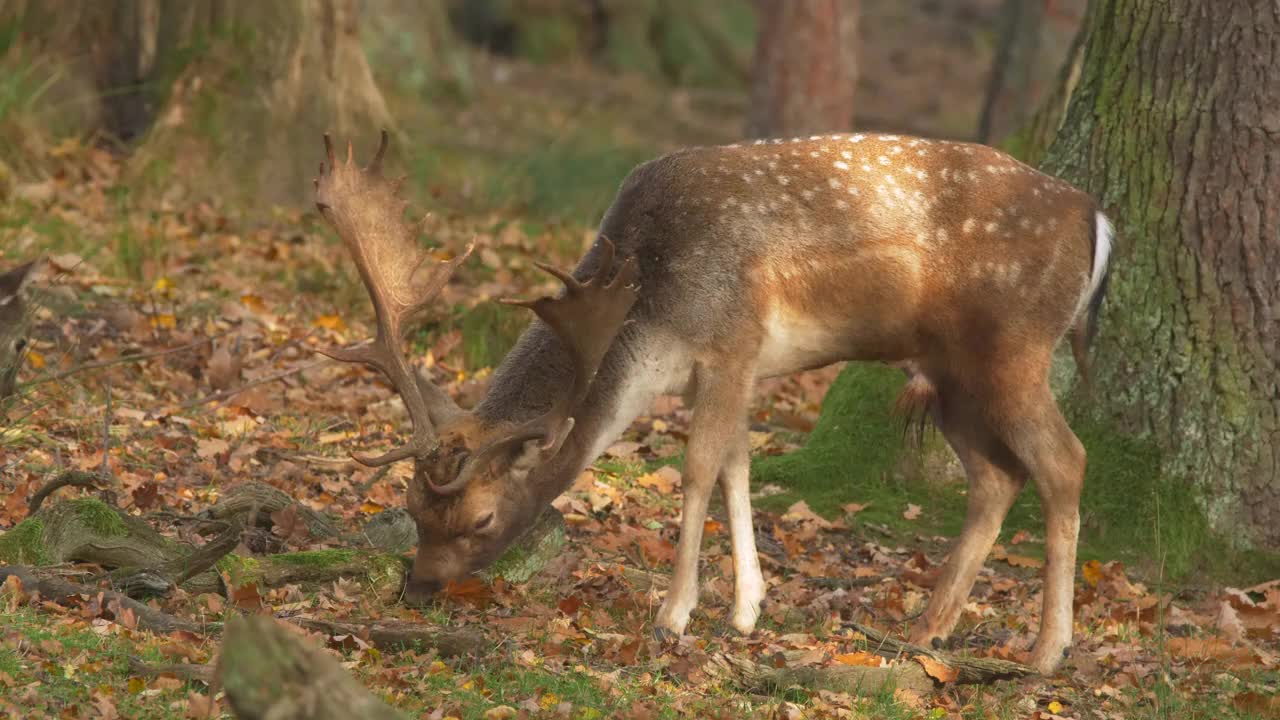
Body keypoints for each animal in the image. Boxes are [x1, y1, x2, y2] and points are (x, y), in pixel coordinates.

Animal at [312, 130, 1111, 671]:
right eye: (412, 508)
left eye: (479, 519)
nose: (417, 588)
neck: (650, 303)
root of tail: (1098, 219)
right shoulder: (733, 368)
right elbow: (737, 466)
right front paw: (747, 610)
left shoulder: (732, 341)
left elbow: (698, 470)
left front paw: (674, 615)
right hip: (950, 376)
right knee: (997, 477)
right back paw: (926, 630)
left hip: (1013, 348)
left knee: (1066, 461)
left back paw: (1046, 653)